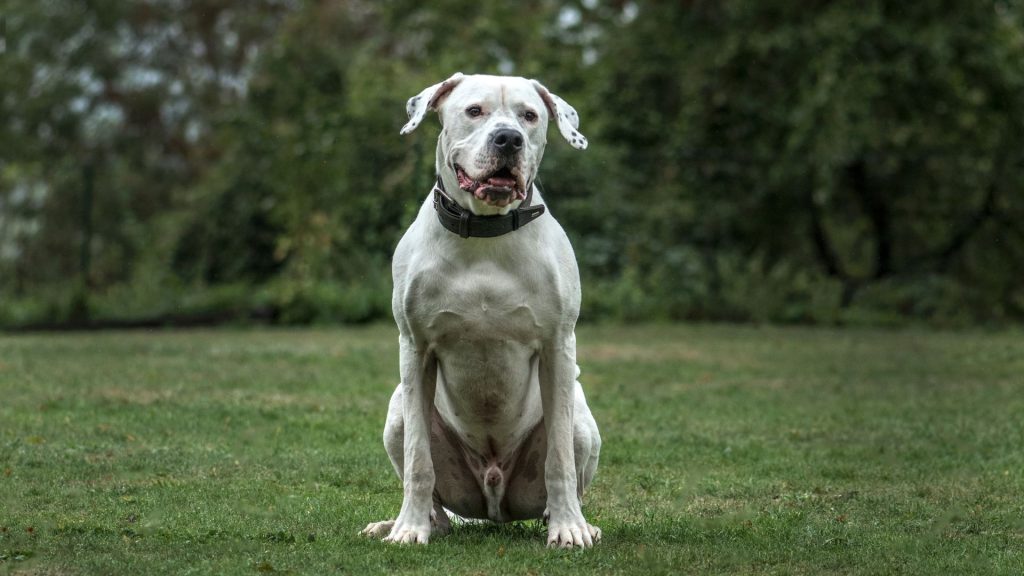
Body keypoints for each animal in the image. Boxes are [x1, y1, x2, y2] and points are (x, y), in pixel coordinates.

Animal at [360, 72, 598, 545]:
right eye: (474, 111)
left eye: (529, 115)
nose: (509, 139)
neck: (487, 233)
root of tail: (493, 505)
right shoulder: (415, 350)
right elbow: (418, 460)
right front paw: (408, 529)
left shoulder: (558, 348)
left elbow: (559, 458)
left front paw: (568, 530)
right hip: (396, 411)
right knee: (432, 492)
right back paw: (405, 523)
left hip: (582, 415)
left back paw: (573, 520)